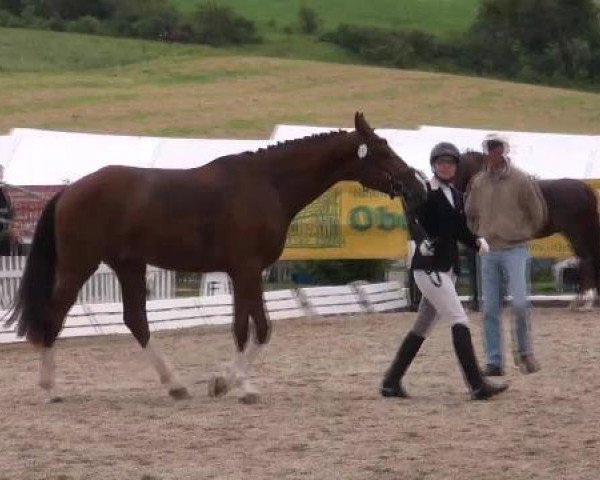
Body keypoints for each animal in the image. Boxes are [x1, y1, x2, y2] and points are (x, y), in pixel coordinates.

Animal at [3, 114, 426, 404]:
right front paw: (240, 386)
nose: (416, 185)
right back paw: (51, 389)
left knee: (136, 321)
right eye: (383, 150)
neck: (267, 183)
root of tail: (70, 190)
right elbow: (261, 327)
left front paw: (224, 382)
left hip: (129, 265)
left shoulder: (242, 272)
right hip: (80, 266)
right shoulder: (248, 270)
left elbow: (242, 327)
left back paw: (175, 385)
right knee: (53, 316)